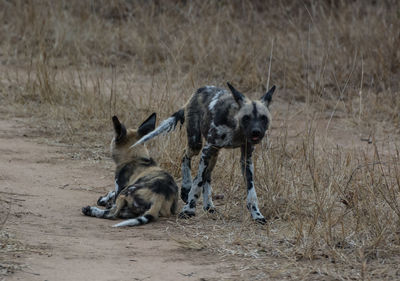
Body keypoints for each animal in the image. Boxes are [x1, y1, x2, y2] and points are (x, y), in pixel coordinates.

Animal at [131, 81, 276, 223]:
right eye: (246, 118)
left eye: (263, 118)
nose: (256, 132)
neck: (237, 130)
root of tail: (197, 92)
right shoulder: (207, 150)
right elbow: (198, 182)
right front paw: (188, 209)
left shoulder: (246, 158)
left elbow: (251, 191)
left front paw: (256, 214)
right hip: (197, 144)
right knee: (186, 157)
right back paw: (186, 188)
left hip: (214, 153)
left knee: (208, 174)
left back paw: (209, 206)